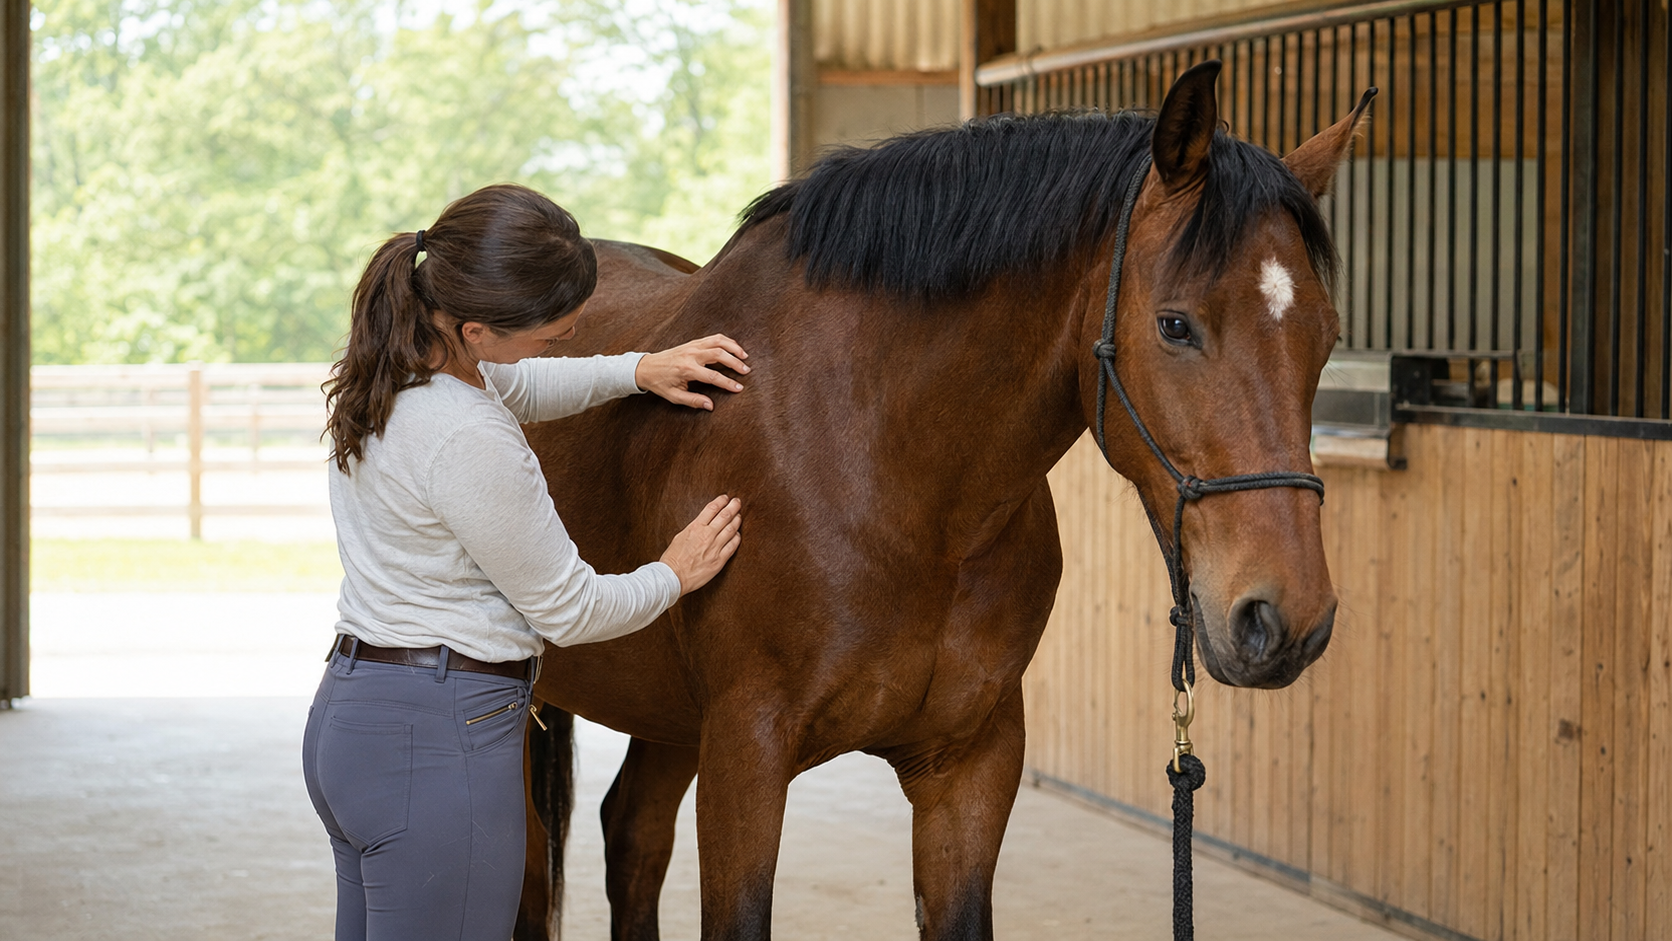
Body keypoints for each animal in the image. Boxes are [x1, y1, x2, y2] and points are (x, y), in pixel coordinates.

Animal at [514, 61, 1371, 941]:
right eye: (1175, 324)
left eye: (1328, 334)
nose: (1285, 617)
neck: (896, 478)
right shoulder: (746, 754)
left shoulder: (970, 764)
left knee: (632, 833)